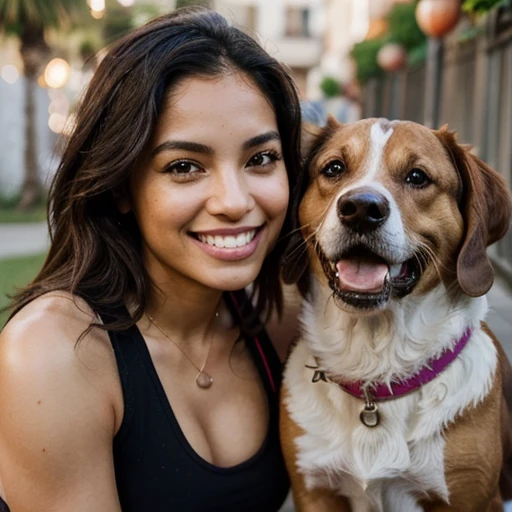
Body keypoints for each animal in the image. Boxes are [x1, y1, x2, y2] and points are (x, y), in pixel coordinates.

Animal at [280, 118, 512, 510]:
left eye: (417, 176)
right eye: (334, 168)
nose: (360, 208)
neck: (376, 366)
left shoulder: (471, 498)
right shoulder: (314, 490)